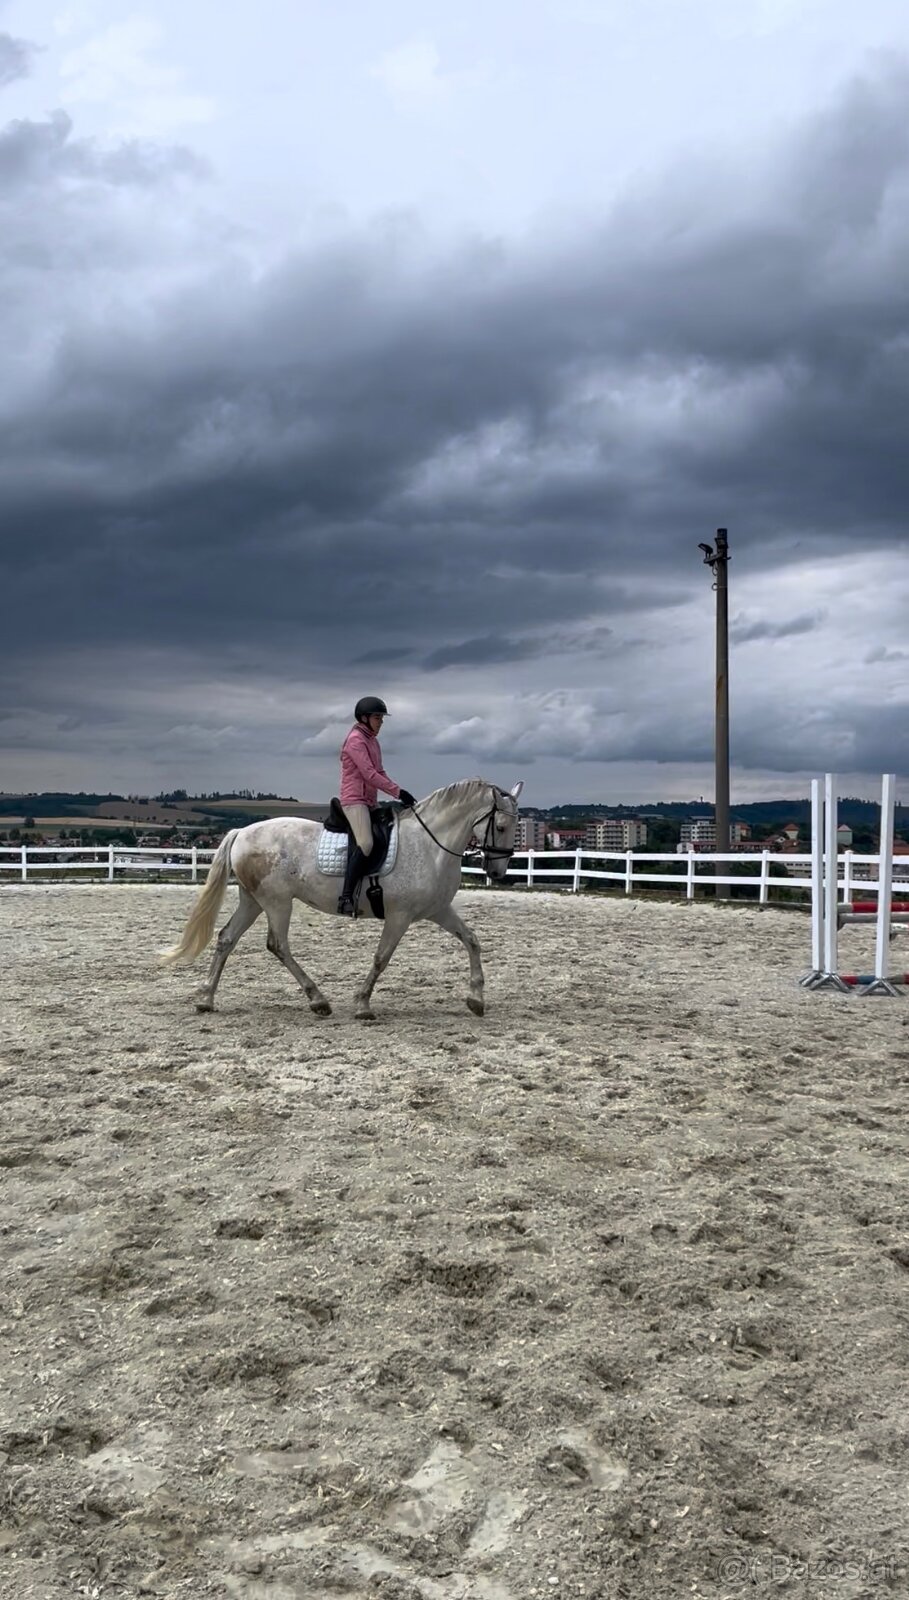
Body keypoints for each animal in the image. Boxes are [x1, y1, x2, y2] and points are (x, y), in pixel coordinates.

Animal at [161, 778, 523, 1020]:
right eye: (502, 826)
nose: (498, 871)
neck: (430, 844)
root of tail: (242, 832)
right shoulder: (400, 915)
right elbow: (381, 958)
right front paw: (362, 1004)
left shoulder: (438, 910)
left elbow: (472, 940)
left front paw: (476, 999)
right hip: (277, 902)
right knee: (278, 945)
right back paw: (318, 1000)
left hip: (252, 900)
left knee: (226, 938)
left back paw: (206, 999)